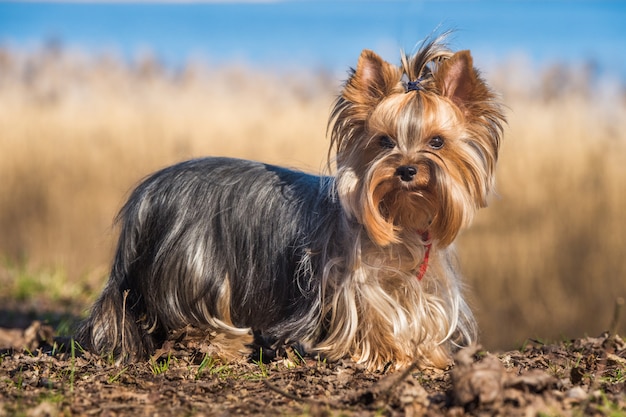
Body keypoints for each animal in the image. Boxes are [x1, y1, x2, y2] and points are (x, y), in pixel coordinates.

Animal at [78, 34, 504, 368]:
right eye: (384, 141)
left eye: (437, 142)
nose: (407, 170)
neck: (401, 220)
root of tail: (147, 195)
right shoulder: (356, 281)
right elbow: (374, 314)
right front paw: (388, 354)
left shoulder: (422, 282)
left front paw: (429, 355)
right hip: (195, 269)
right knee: (193, 320)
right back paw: (227, 346)